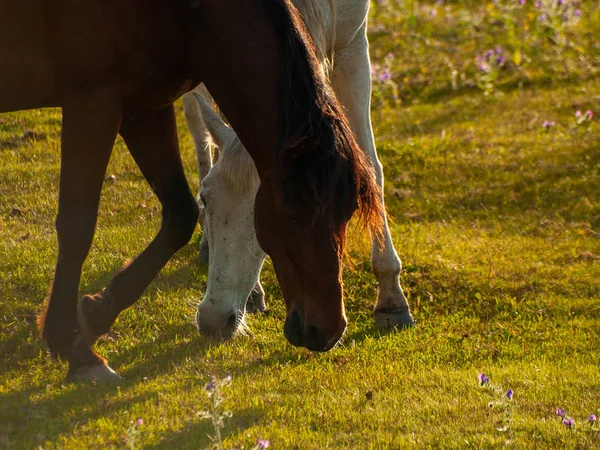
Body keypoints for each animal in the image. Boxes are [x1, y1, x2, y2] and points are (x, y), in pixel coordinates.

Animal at [0, 0, 382, 382]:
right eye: (291, 215)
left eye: (350, 212)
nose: (327, 329)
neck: (180, 14)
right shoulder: (93, 104)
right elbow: (77, 226)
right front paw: (75, 349)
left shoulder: (145, 106)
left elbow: (180, 214)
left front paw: (97, 312)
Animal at [185, 0, 414, 342]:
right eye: (205, 197)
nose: (213, 321)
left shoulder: (352, 44)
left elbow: (372, 168)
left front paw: (391, 300)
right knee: (197, 128)